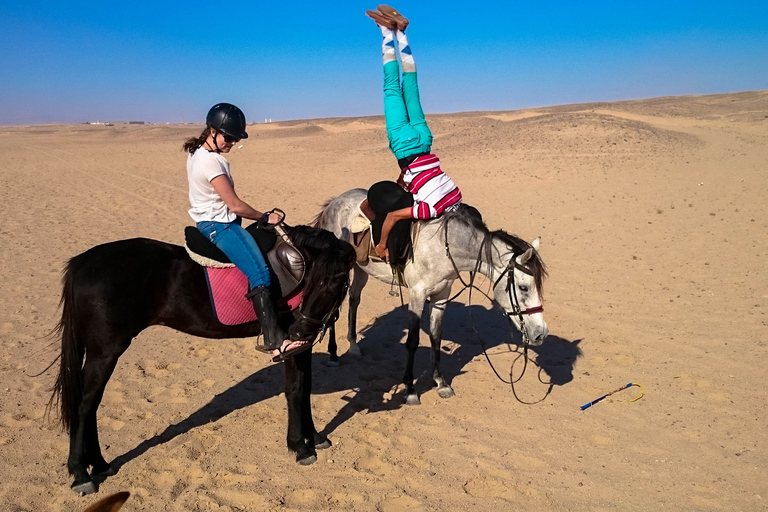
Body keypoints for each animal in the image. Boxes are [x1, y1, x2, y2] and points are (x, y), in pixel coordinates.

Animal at [49, 223, 356, 492]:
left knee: (91, 404)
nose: (300, 329)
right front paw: (300, 446)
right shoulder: (292, 347)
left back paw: (99, 464)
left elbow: (305, 389)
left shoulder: (301, 347)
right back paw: (80, 473)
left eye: (335, 283)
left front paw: (314, 438)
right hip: (105, 352)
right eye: (315, 281)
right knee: (85, 404)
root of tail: (82, 262)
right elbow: (295, 390)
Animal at [312, 187, 544, 404]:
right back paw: (333, 354)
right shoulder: (417, 294)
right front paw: (410, 389)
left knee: (354, 299)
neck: (444, 247)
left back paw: (353, 345)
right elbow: (413, 341)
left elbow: (436, 337)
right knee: (335, 306)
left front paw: (441, 382)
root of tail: (335, 202)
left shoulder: (442, 295)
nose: (541, 334)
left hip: (362, 269)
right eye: (524, 287)